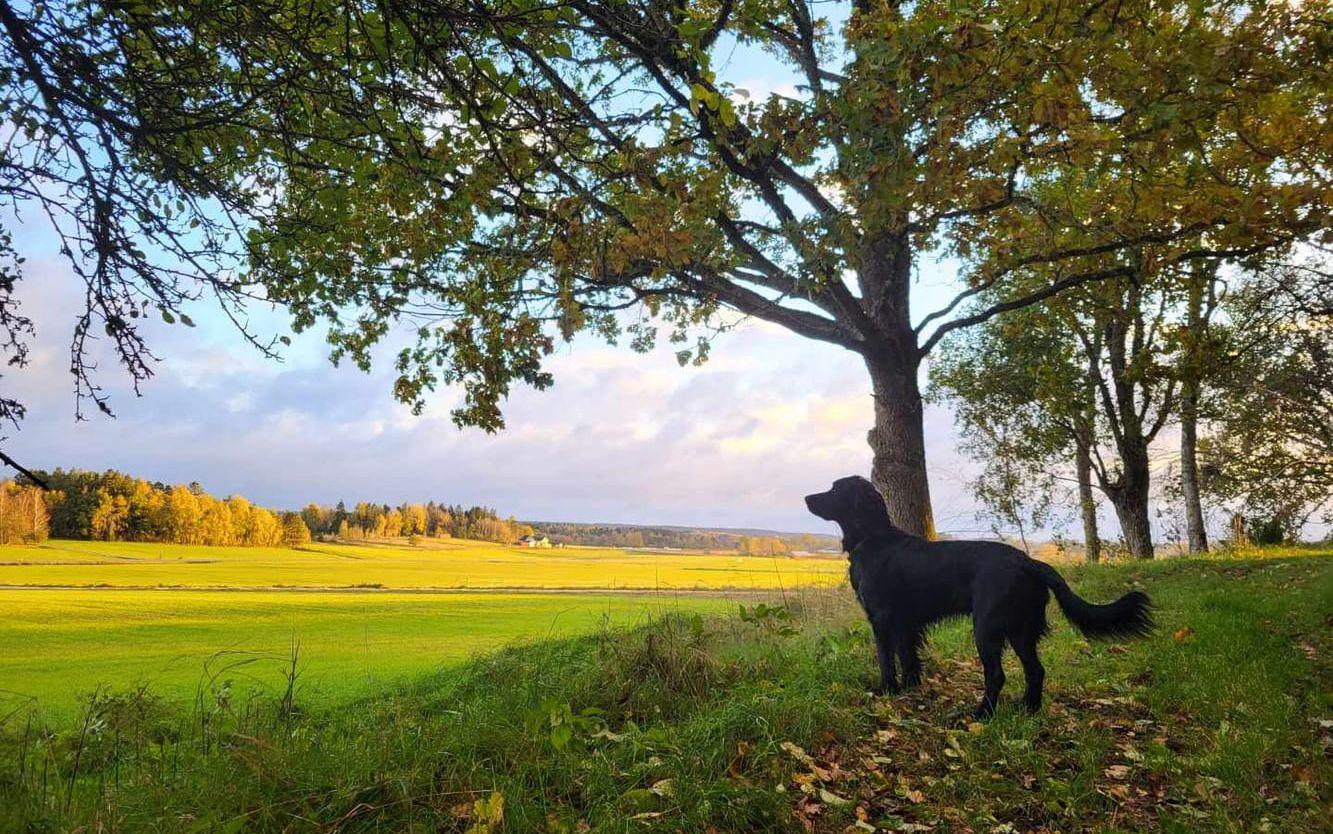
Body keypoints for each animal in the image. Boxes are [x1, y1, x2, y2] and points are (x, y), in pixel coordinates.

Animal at [805, 474, 1151, 714]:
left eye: (834, 490)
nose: (807, 497)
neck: (873, 539)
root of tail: (1028, 561)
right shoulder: (905, 623)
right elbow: (908, 657)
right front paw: (910, 689)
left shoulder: (881, 619)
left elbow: (886, 659)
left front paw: (886, 690)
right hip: (1021, 629)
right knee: (1035, 670)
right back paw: (1028, 709)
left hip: (987, 627)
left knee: (997, 674)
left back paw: (981, 714)